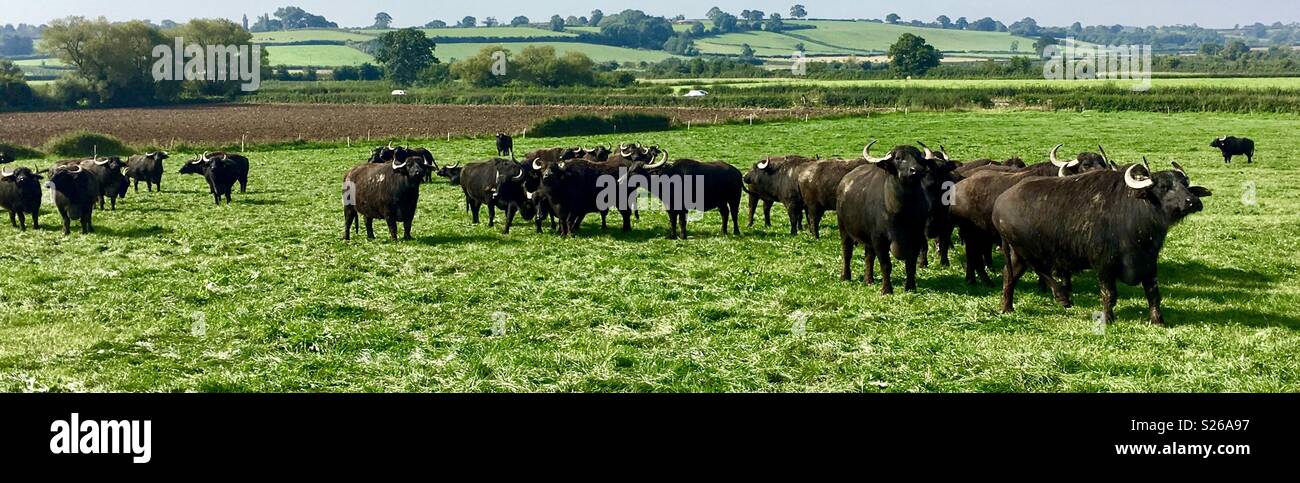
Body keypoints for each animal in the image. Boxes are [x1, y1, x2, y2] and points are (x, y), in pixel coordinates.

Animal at [993, 160, 1212, 325]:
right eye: (1164, 187)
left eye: (1185, 185)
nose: (1193, 202)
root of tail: (1000, 203)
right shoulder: (1103, 265)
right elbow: (1109, 294)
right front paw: (1108, 318)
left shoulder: (1149, 263)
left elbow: (1153, 293)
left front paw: (1158, 320)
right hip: (1026, 248)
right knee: (1039, 269)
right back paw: (1062, 297)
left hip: (1016, 254)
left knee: (1009, 276)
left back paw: (1007, 307)